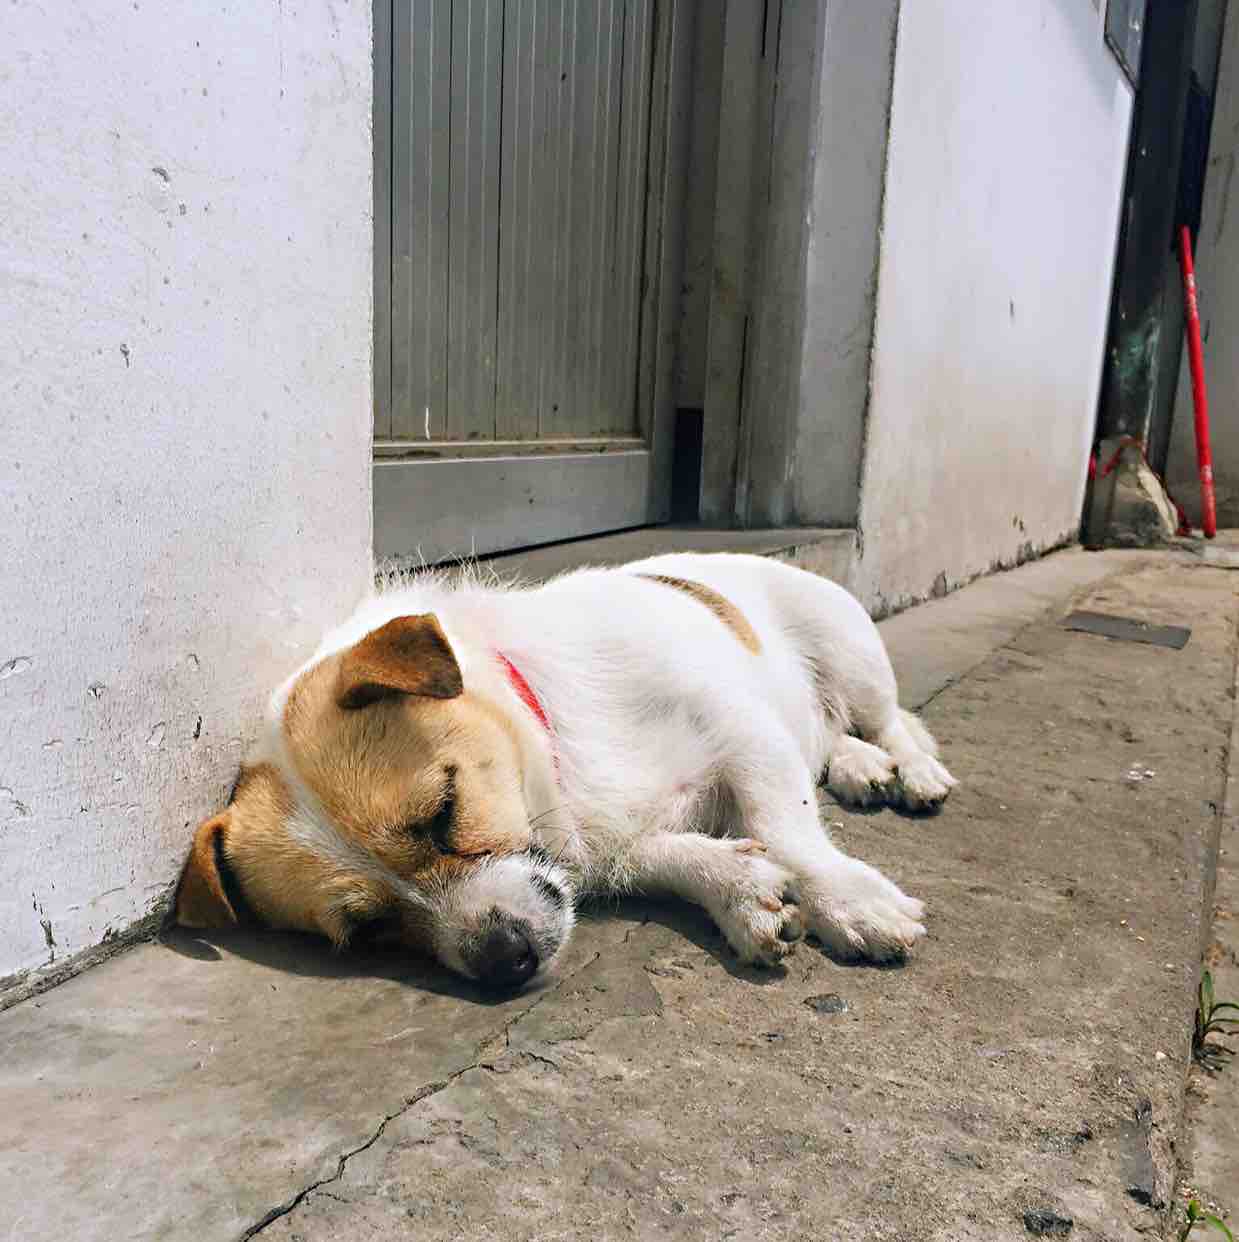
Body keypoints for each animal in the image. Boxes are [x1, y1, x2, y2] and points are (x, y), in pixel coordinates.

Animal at [175, 553, 953, 988]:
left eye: (443, 811)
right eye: (369, 931)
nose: (504, 960)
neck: (556, 740)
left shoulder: (743, 732)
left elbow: (786, 825)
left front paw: (848, 901)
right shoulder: (624, 846)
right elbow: (680, 855)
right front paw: (739, 888)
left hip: (849, 648)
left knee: (890, 719)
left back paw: (911, 771)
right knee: (831, 738)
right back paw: (859, 767)